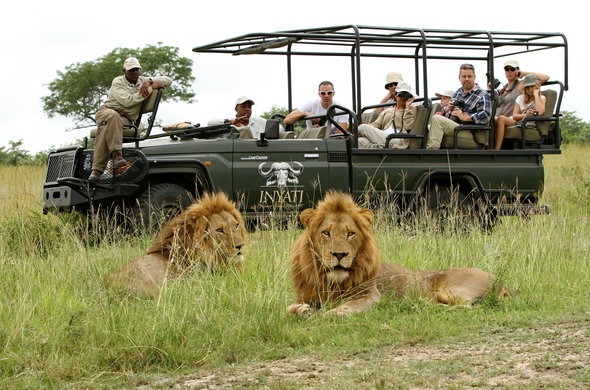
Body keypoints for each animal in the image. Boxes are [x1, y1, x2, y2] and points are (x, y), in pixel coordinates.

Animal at [288, 192, 512, 316]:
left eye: (350, 233)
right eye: (326, 233)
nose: (339, 254)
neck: (332, 281)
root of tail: (498, 278)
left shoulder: (372, 295)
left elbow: (349, 306)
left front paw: (332, 313)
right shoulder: (304, 295)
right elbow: (289, 308)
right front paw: (304, 310)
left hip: (451, 290)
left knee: (467, 307)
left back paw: (419, 306)